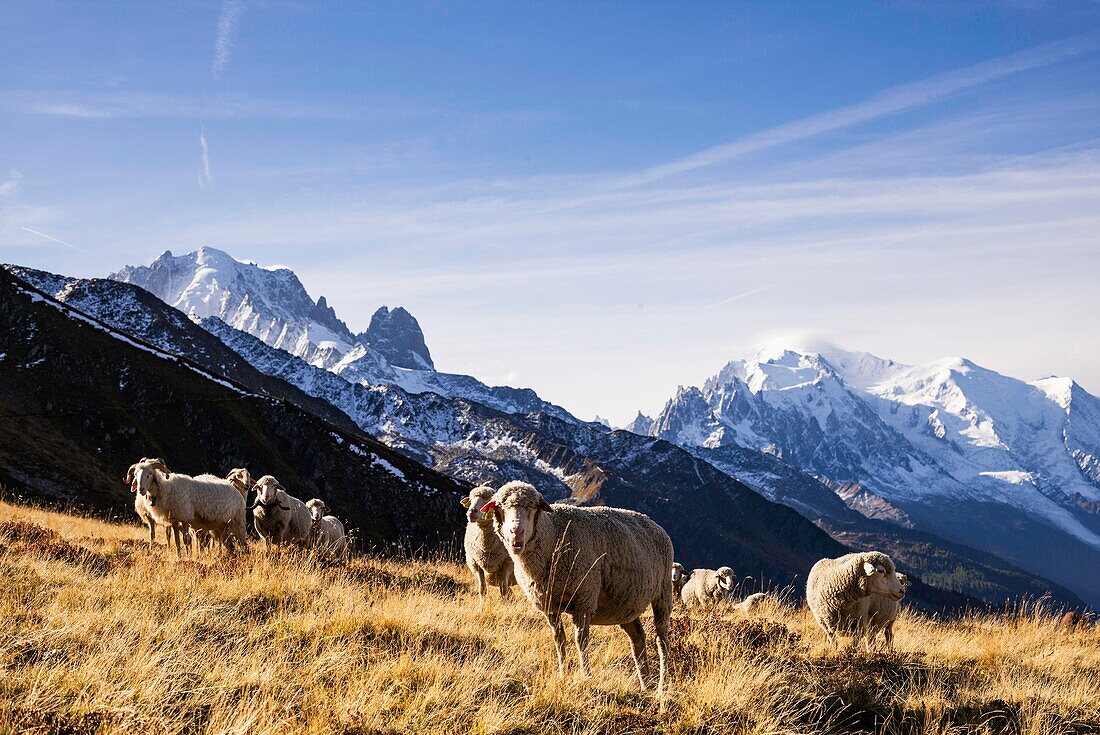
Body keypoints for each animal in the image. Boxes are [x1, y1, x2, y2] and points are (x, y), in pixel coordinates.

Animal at [484, 479, 673, 704]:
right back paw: (646, 684)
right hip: (626, 604)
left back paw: (662, 687)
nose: (516, 533)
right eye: (500, 507)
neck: (553, 536)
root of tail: (654, 523)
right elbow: (559, 640)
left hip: (663, 592)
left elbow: (580, 641)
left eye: (533, 507)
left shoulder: (583, 600)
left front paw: (586, 676)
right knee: (638, 638)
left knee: (662, 641)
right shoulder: (550, 607)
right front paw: (562, 674)